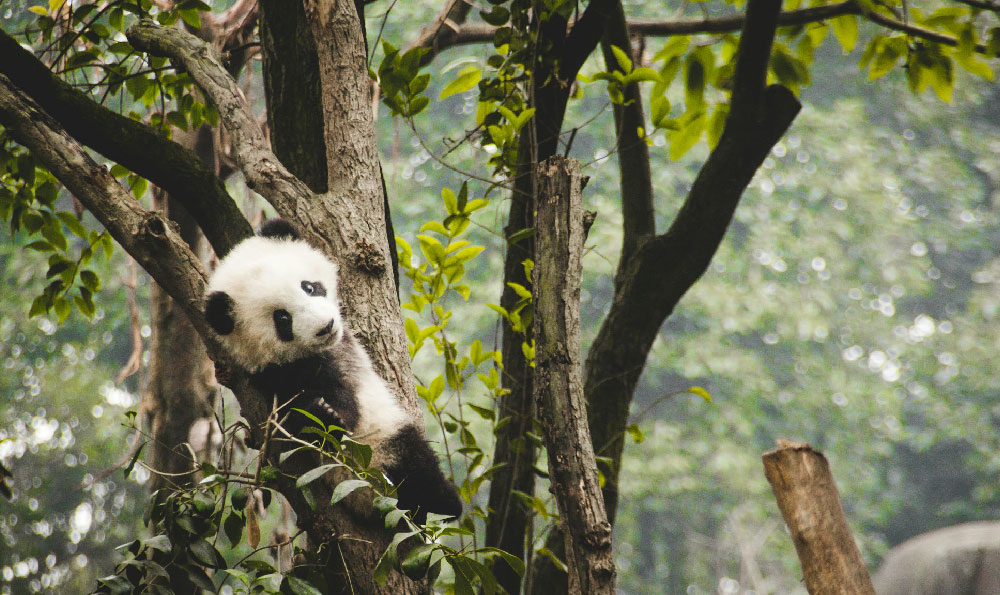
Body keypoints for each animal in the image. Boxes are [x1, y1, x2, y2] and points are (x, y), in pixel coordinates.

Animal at [207, 219, 464, 520]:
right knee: (417, 466)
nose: (326, 327)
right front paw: (325, 412)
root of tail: (369, 497)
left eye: (308, 287)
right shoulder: (276, 373)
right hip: (384, 446)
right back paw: (446, 502)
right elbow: (312, 410)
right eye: (282, 318)